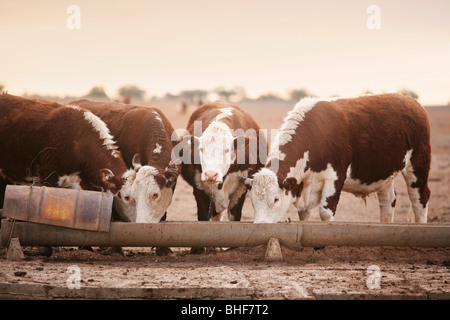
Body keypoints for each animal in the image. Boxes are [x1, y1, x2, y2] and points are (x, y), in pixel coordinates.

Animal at [246, 92, 432, 222]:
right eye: (253, 200)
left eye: (276, 199)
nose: (260, 225)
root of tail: (412, 102)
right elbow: (304, 214)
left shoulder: (335, 177)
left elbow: (325, 213)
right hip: (386, 172)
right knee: (388, 202)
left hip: (418, 164)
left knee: (420, 199)